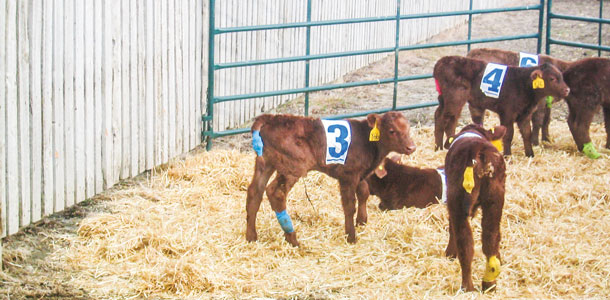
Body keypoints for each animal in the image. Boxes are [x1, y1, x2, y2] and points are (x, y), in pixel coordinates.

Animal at [245, 111, 416, 247]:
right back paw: (292, 239)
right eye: (392, 131)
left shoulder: (359, 173)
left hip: (266, 163)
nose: (411, 147)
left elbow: (364, 192)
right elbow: (349, 205)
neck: (368, 142)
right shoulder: (348, 175)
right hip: (292, 167)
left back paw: (251, 237)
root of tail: (270, 118)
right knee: (276, 193)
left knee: (255, 191)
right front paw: (351, 237)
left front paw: (362, 221)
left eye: (408, 129)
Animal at [430, 54, 568, 156]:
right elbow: (508, 135)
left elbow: (527, 134)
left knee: (445, 118)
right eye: (552, 78)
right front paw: (508, 156)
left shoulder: (525, 115)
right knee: (444, 119)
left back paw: (445, 146)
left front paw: (530, 155)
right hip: (454, 99)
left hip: (447, 100)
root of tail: (442, 61)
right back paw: (440, 148)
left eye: (562, 77)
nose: (567, 90)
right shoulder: (507, 113)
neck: (522, 83)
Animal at [440, 123, 506, 292]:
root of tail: (477, 151)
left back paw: (467, 287)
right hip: (494, 201)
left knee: (465, 243)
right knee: (491, 239)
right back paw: (489, 284)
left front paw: (450, 254)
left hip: (457, 203)